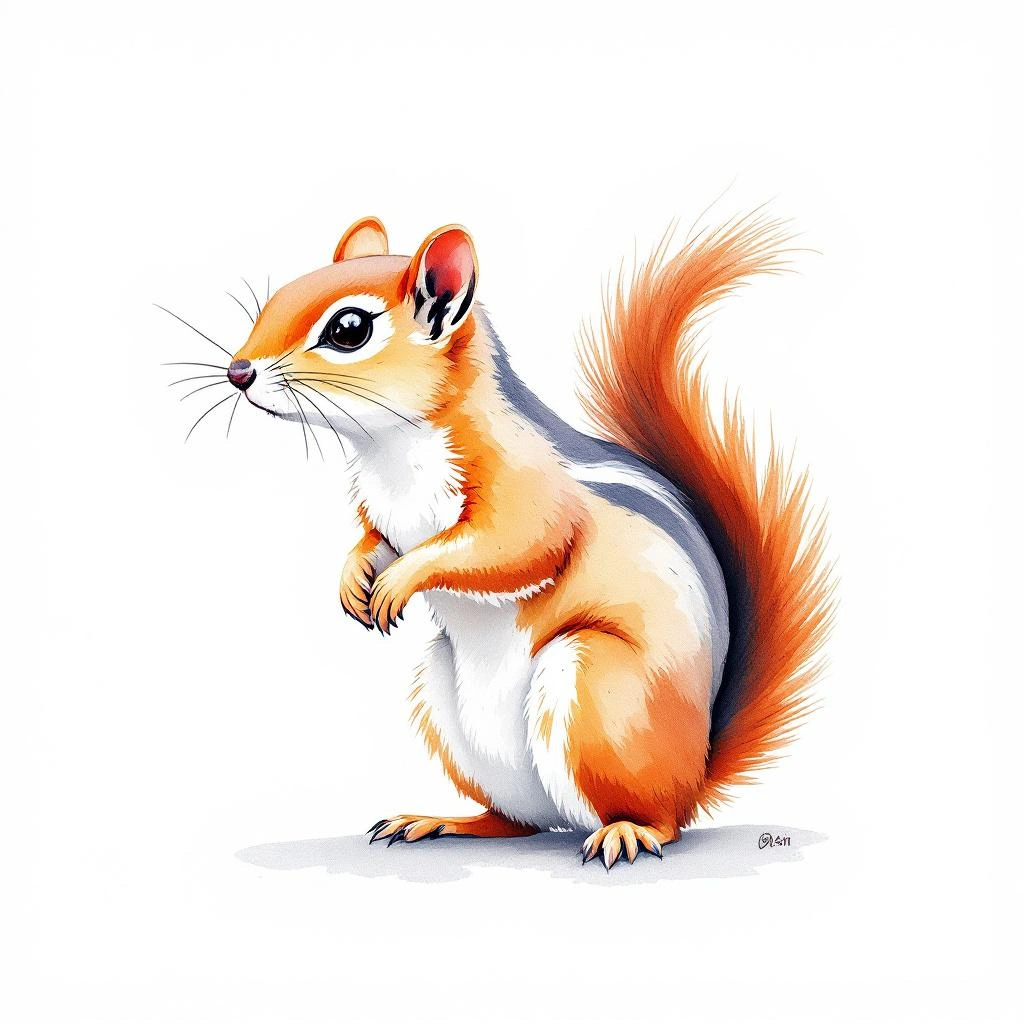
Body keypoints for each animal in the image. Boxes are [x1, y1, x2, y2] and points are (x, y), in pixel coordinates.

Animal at [219, 213, 833, 869]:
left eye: (349, 329)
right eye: (276, 298)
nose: (239, 372)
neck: (391, 447)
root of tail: (696, 775)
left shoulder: (525, 487)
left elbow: (515, 545)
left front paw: (399, 581)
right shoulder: (386, 515)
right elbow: (374, 539)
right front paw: (354, 576)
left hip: (596, 685)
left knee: (659, 821)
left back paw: (626, 832)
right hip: (452, 705)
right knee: (517, 821)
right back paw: (445, 821)